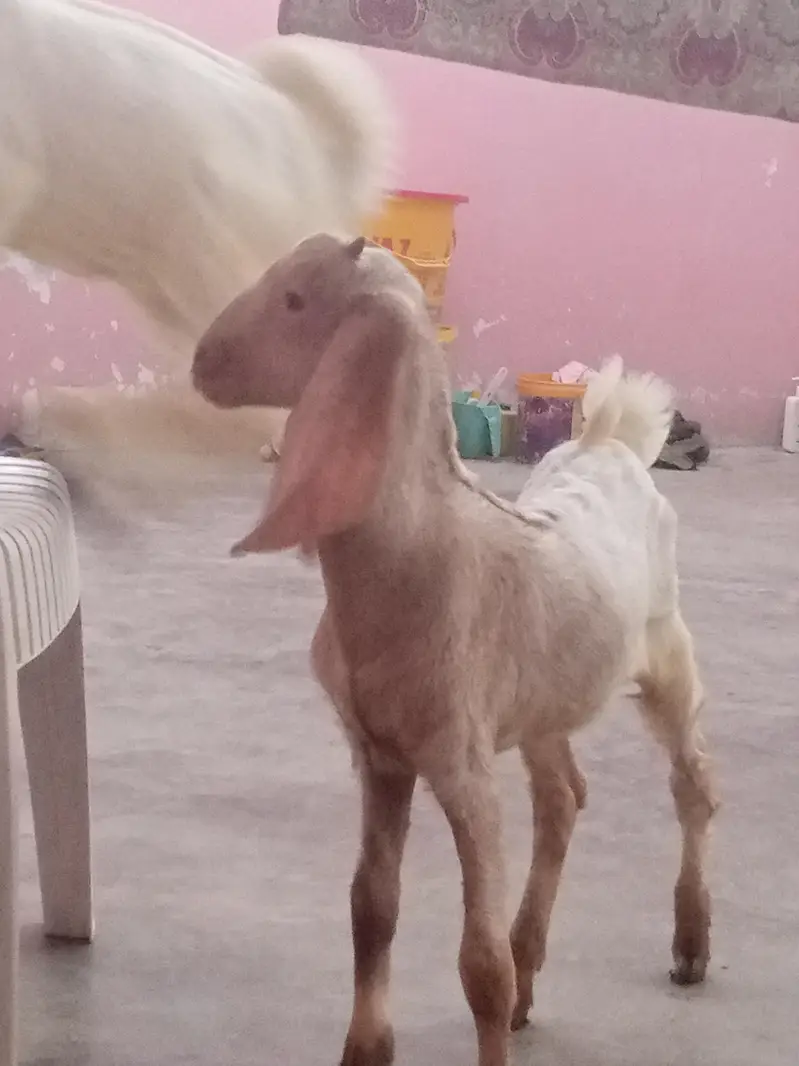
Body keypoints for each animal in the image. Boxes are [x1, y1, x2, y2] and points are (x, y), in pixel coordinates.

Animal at [191, 234, 718, 1066]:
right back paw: (534, 976)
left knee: (691, 784)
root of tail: (608, 443)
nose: (202, 361)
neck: (420, 551)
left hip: (667, 648)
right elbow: (371, 909)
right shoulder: (379, 753)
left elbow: (479, 965)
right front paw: (365, 1050)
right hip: (544, 698)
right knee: (562, 797)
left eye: (297, 300)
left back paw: (690, 944)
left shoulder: (461, 760)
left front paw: (496, 994)